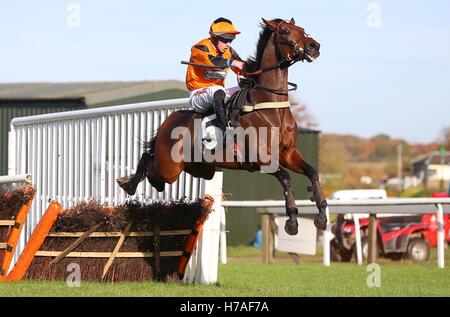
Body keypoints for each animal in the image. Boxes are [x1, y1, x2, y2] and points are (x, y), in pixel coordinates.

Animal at [116, 17, 326, 235]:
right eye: (285, 31)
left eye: (301, 29)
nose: (314, 46)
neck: (271, 107)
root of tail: (169, 120)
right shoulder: (260, 158)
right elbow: (285, 177)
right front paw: (292, 220)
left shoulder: (288, 153)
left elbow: (312, 172)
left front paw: (321, 215)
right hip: (170, 167)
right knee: (147, 159)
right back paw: (128, 184)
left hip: (197, 168)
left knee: (154, 171)